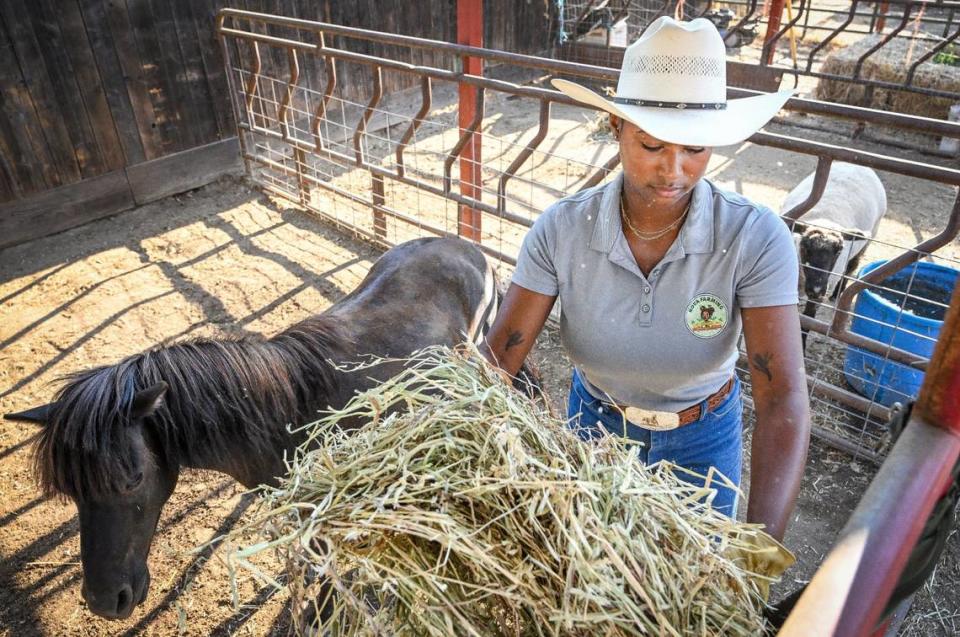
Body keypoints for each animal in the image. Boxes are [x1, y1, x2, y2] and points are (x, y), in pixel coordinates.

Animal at [784, 163, 888, 304]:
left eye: (839, 252)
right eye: (805, 247)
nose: (816, 289)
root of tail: (858, 166)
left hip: (867, 241)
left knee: (851, 268)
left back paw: (836, 295)